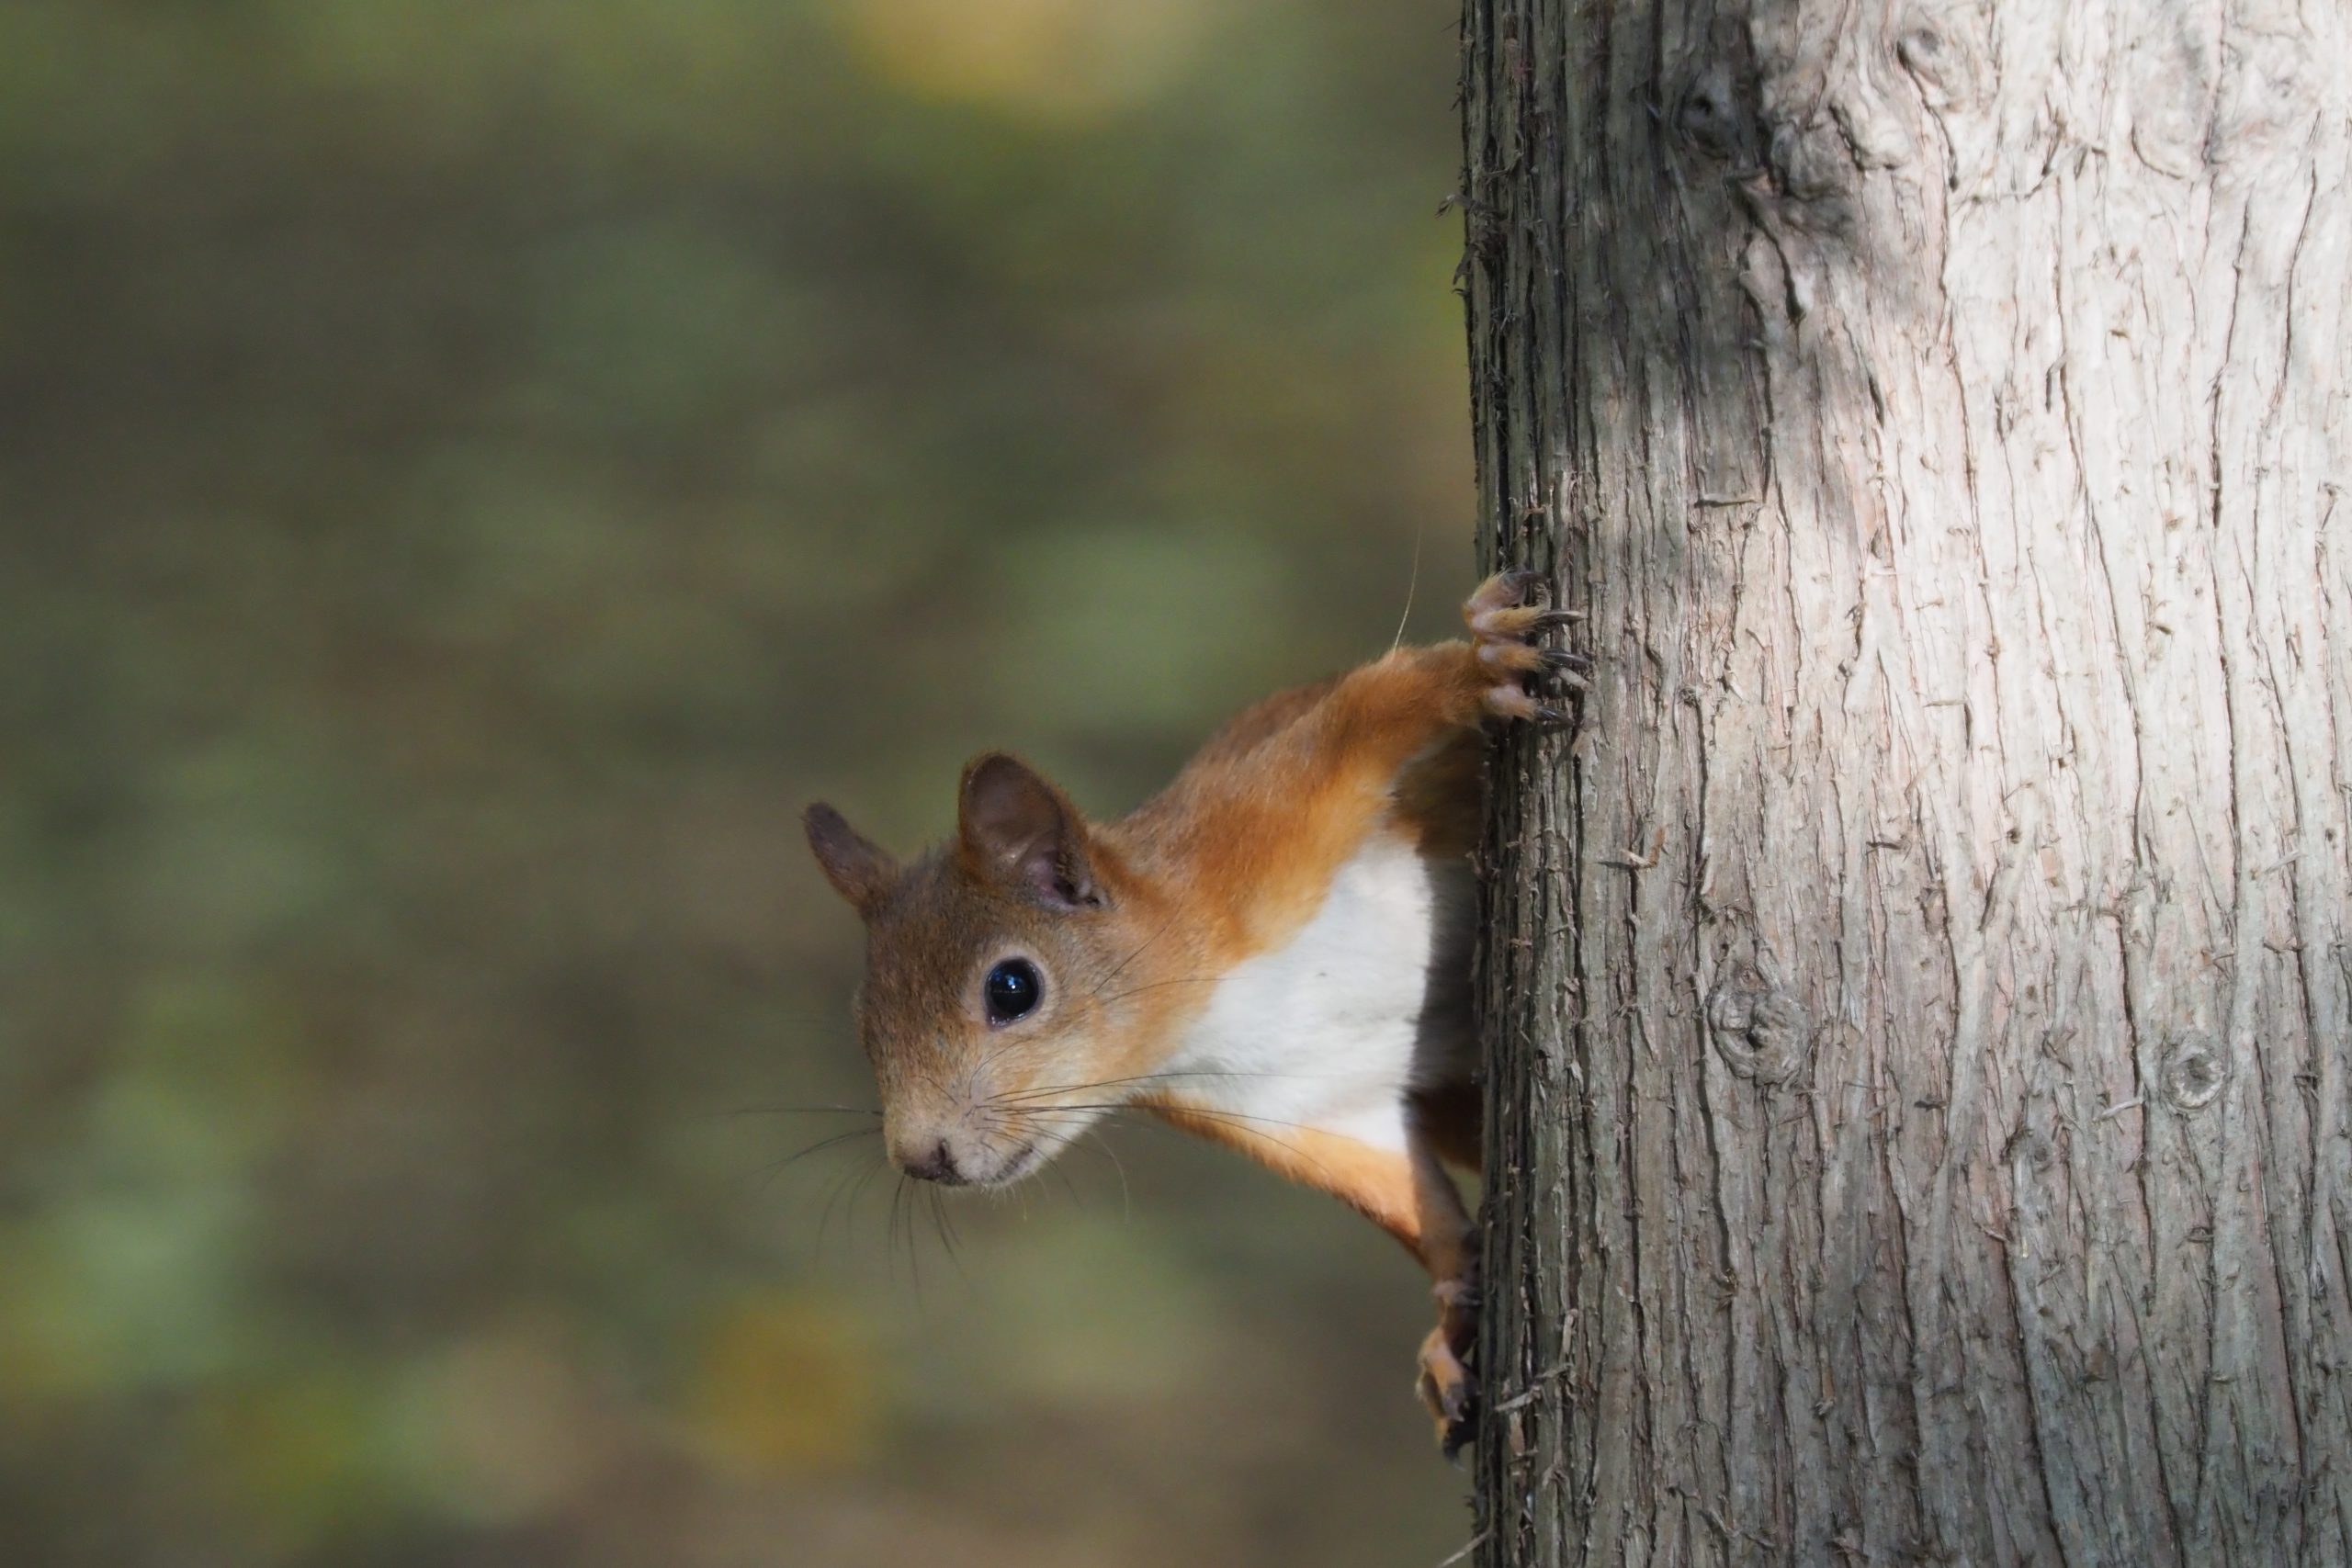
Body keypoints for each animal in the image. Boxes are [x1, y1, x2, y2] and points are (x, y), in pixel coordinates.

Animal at [799, 570, 1589, 1438]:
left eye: (1012, 987)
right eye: (865, 1028)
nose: (920, 1156)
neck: (1208, 1011)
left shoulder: (1260, 826)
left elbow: (1367, 714)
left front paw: (1483, 664)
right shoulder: (1307, 1106)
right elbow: (1406, 1198)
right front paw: (1450, 1324)